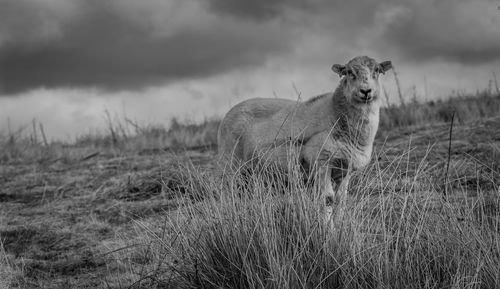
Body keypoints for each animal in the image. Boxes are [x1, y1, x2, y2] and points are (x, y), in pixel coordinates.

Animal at [217, 55, 392, 218]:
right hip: (231, 165)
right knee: (228, 195)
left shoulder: (345, 169)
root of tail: (230, 112)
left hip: (252, 173)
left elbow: (341, 200)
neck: (335, 113)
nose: (366, 91)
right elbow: (327, 199)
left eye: (377, 70)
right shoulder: (321, 161)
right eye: (349, 72)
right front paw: (328, 229)